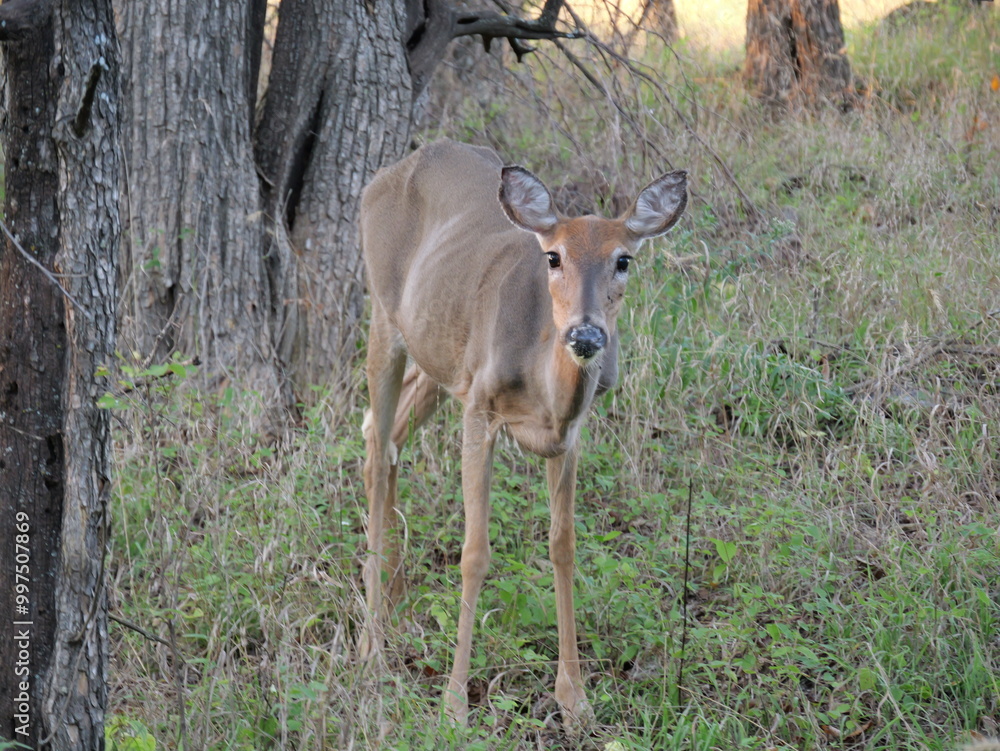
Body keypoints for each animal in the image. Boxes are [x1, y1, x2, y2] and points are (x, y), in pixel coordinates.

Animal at [359, 138, 687, 730]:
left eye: (623, 259)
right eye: (553, 257)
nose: (585, 334)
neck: (543, 385)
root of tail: (394, 169)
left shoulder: (570, 435)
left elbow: (563, 546)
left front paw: (574, 699)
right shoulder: (479, 410)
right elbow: (474, 552)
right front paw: (454, 705)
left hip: (439, 355)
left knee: (385, 434)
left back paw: (393, 601)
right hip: (385, 316)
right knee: (376, 445)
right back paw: (371, 647)